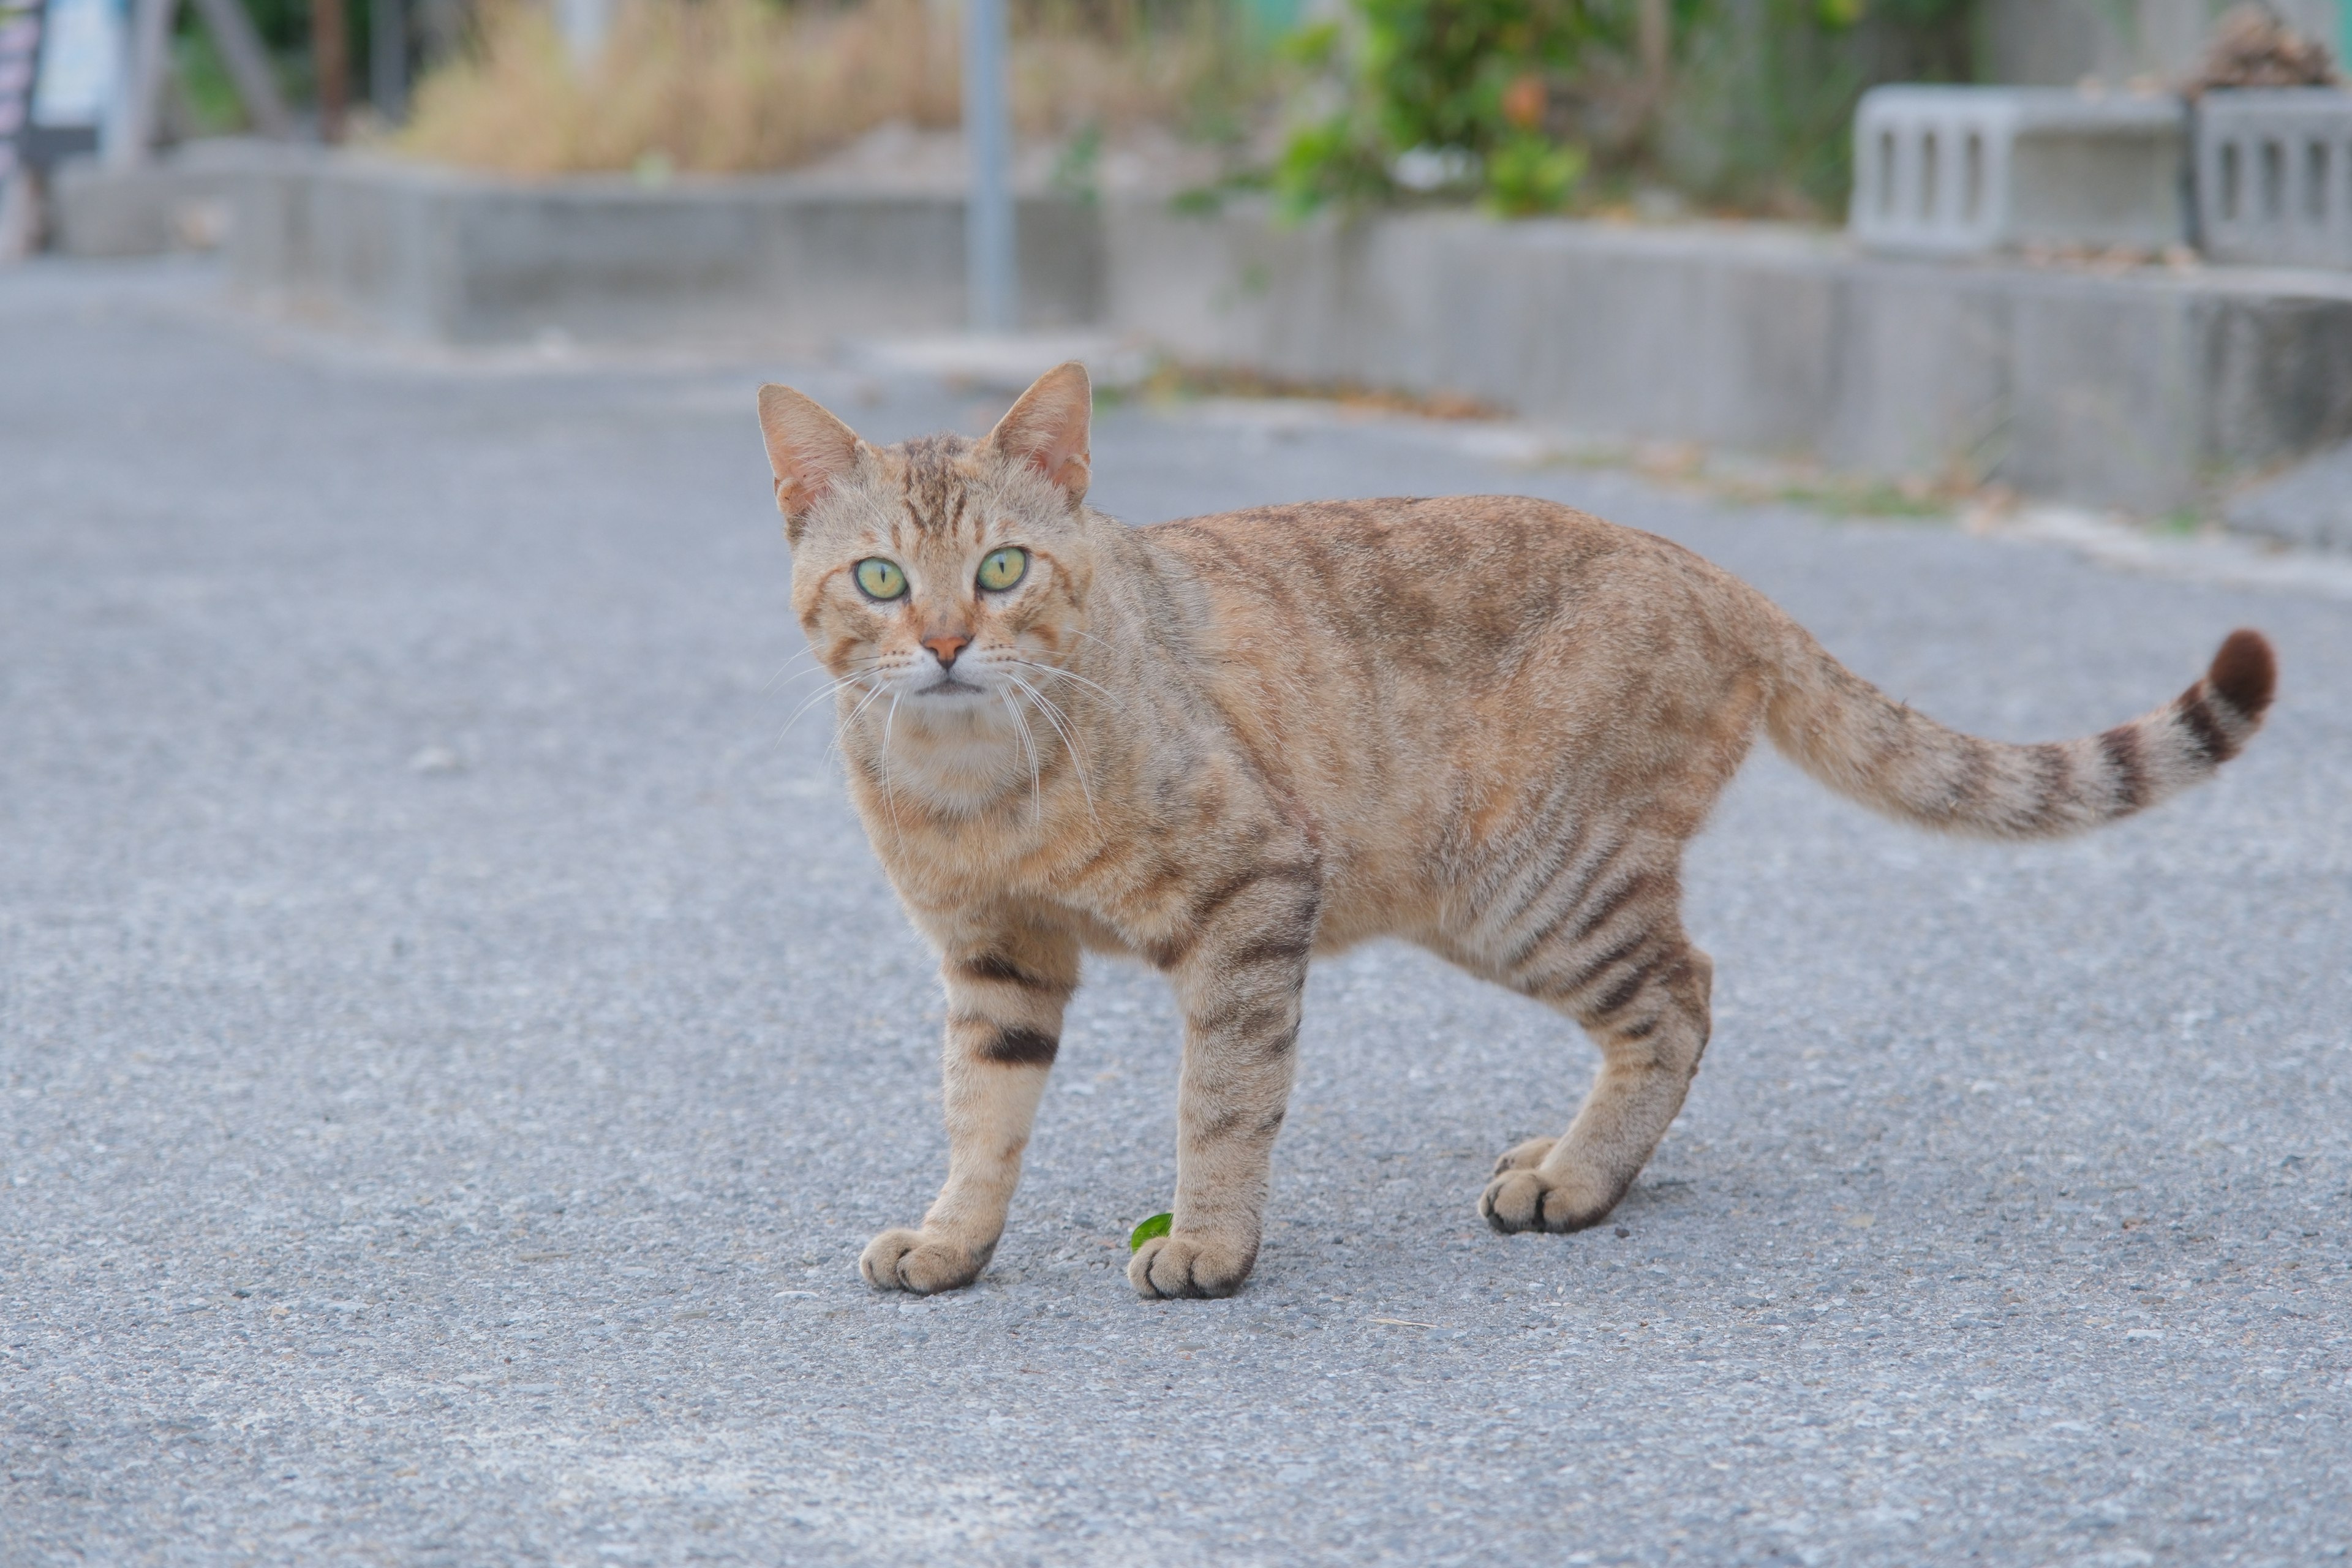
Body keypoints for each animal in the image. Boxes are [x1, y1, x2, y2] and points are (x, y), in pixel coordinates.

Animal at [752, 362, 2277, 1306]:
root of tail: (1707, 568)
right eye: (880, 579)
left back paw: (1579, 1179)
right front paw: (954, 1242)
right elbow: (979, 1117)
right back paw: (1564, 1153)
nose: (949, 641)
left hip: (1527, 885)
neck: (976, 784)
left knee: (1682, 997)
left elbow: (1222, 1103)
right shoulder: (995, 963)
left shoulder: (1253, 893)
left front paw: (1208, 1243)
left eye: (1003, 568)